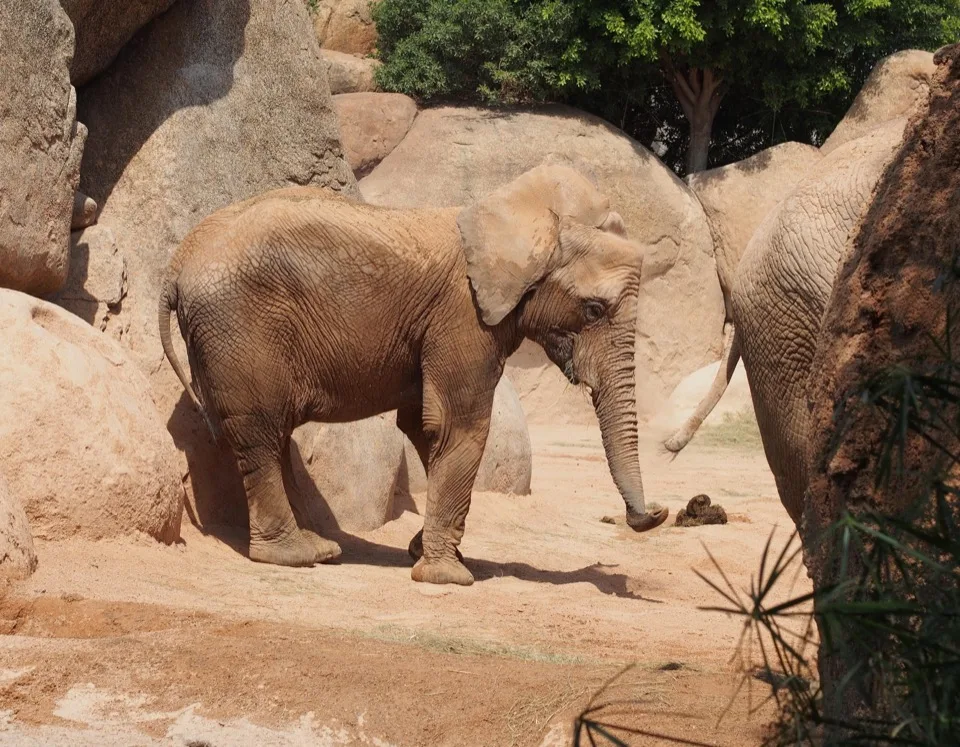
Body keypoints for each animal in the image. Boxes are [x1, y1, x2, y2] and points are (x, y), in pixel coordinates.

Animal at [158, 164, 669, 586]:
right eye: (594, 309)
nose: (658, 512)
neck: (518, 211)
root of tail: (176, 265)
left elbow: (425, 429)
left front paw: (431, 554)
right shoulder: (463, 316)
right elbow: (457, 426)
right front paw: (450, 577)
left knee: (272, 433)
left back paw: (318, 548)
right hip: (238, 330)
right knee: (261, 432)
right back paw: (296, 556)